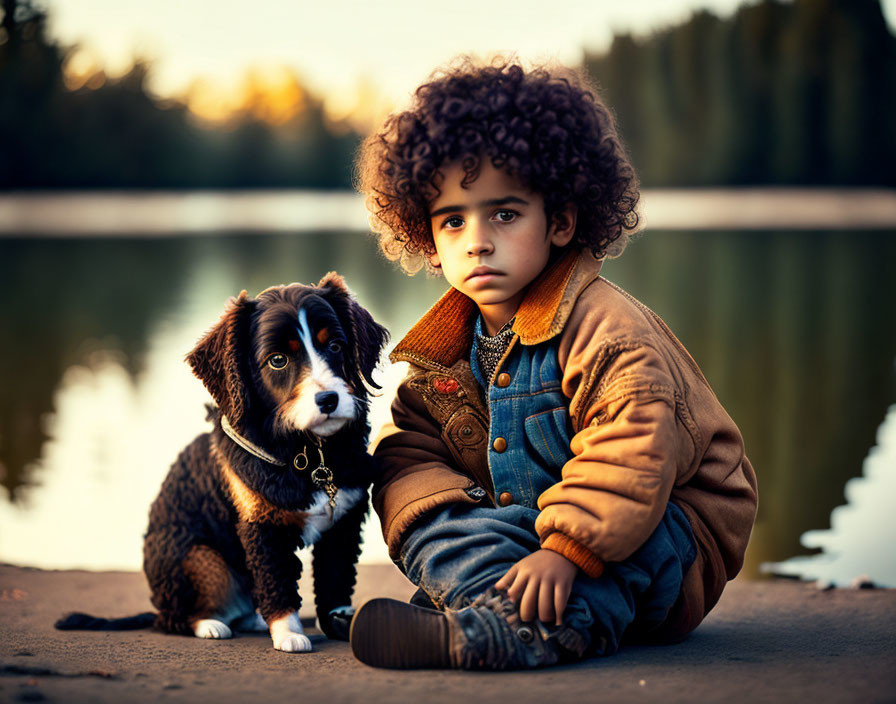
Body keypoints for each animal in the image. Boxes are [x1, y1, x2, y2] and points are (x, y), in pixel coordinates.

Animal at [56, 272, 390, 652]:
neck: (308, 452)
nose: (329, 399)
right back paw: (210, 625)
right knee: (174, 618)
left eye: (335, 346)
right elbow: (276, 582)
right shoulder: (261, 526)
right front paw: (289, 634)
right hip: (200, 559)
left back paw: (254, 621)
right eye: (277, 360)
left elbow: (336, 581)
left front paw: (339, 623)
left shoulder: (344, 521)